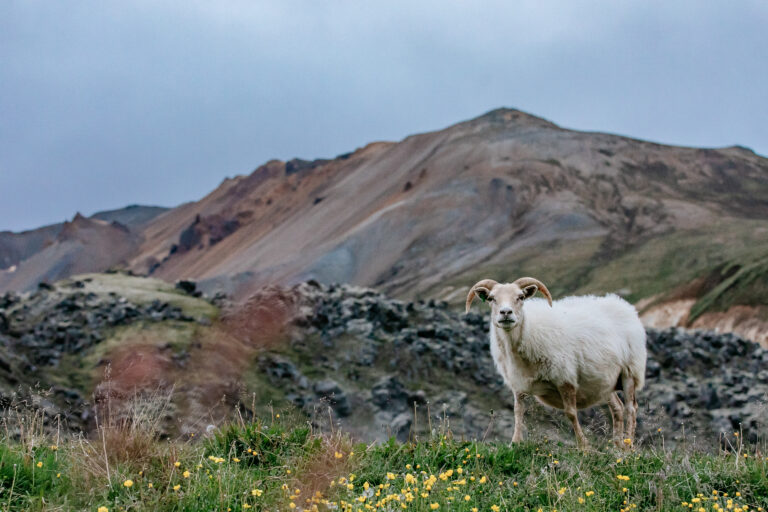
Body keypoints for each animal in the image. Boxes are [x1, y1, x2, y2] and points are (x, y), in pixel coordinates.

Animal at [464, 276, 644, 448]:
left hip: (629, 371)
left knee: (631, 408)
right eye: (491, 298)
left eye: (520, 297)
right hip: (605, 381)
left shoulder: (565, 378)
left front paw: (583, 446)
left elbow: (571, 413)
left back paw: (628, 445)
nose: (506, 312)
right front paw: (515, 442)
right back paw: (617, 446)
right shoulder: (518, 382)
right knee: (617, 408)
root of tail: (621, 304)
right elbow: (518, 411)